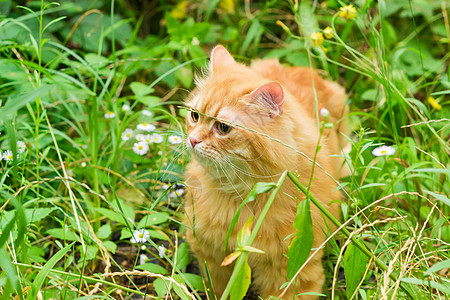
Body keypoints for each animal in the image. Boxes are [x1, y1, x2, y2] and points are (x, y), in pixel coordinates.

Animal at [183, 45, 348, 298]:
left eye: (223, 128)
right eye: (195, 116)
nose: (192, 140)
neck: (240, 194)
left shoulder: (292, 269)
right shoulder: (212, 258)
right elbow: (220, 289)